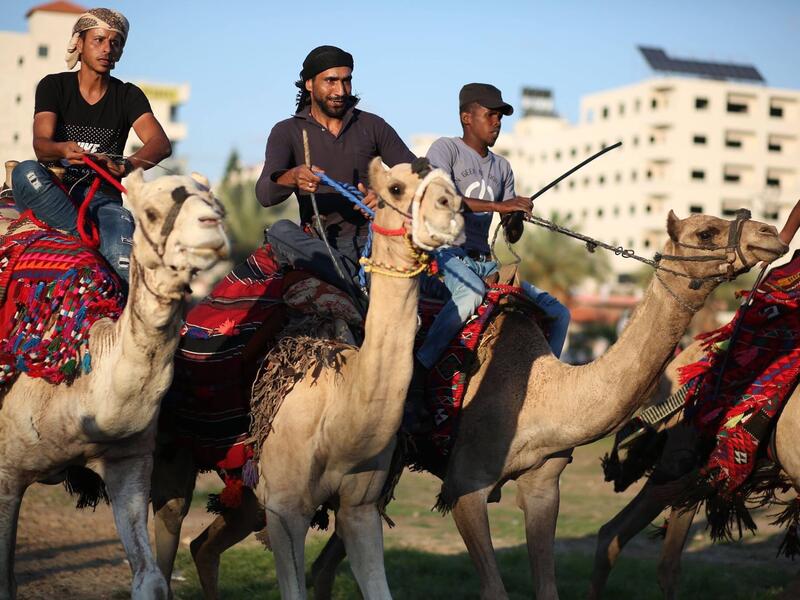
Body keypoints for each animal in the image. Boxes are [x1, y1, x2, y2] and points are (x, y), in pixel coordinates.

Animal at [0, 169, 229, 600]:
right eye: (151, 212)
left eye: (217, 205)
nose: (213, 228)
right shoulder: (5, 471)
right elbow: (6, 582)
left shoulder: (129, 460)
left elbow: (149, 578)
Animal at [151, 157, 464, 599]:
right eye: (397, 188)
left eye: (450, 185)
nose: (449, 210)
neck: (339, 407)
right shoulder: (285, 509)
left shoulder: (359, 508)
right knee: (168, 526)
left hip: (248, 492)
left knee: (204, 545)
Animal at [306, 209, 789, 600]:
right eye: (706, 231)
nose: (770, 234)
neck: (543, 396)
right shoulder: (466, 484)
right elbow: (494, 590)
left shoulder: (543, 482)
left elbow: (548, 588)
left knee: (329, 559)